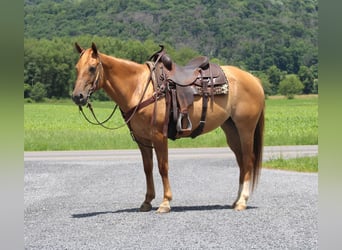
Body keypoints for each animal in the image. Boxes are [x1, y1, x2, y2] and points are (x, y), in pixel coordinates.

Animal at [71, 43, 264, 213]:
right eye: (77, 68)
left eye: (92, 68)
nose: (77, 96)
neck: (140, 88)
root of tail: (253, 79)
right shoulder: (142, 139)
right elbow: (147, 168)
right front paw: (147, 201)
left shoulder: (159, 136)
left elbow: (162, 167)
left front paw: (165, 203)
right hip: (231, 130)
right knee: (241, 161)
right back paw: (236, 200)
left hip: (246, 129)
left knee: (248, 160)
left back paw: (242, 201)